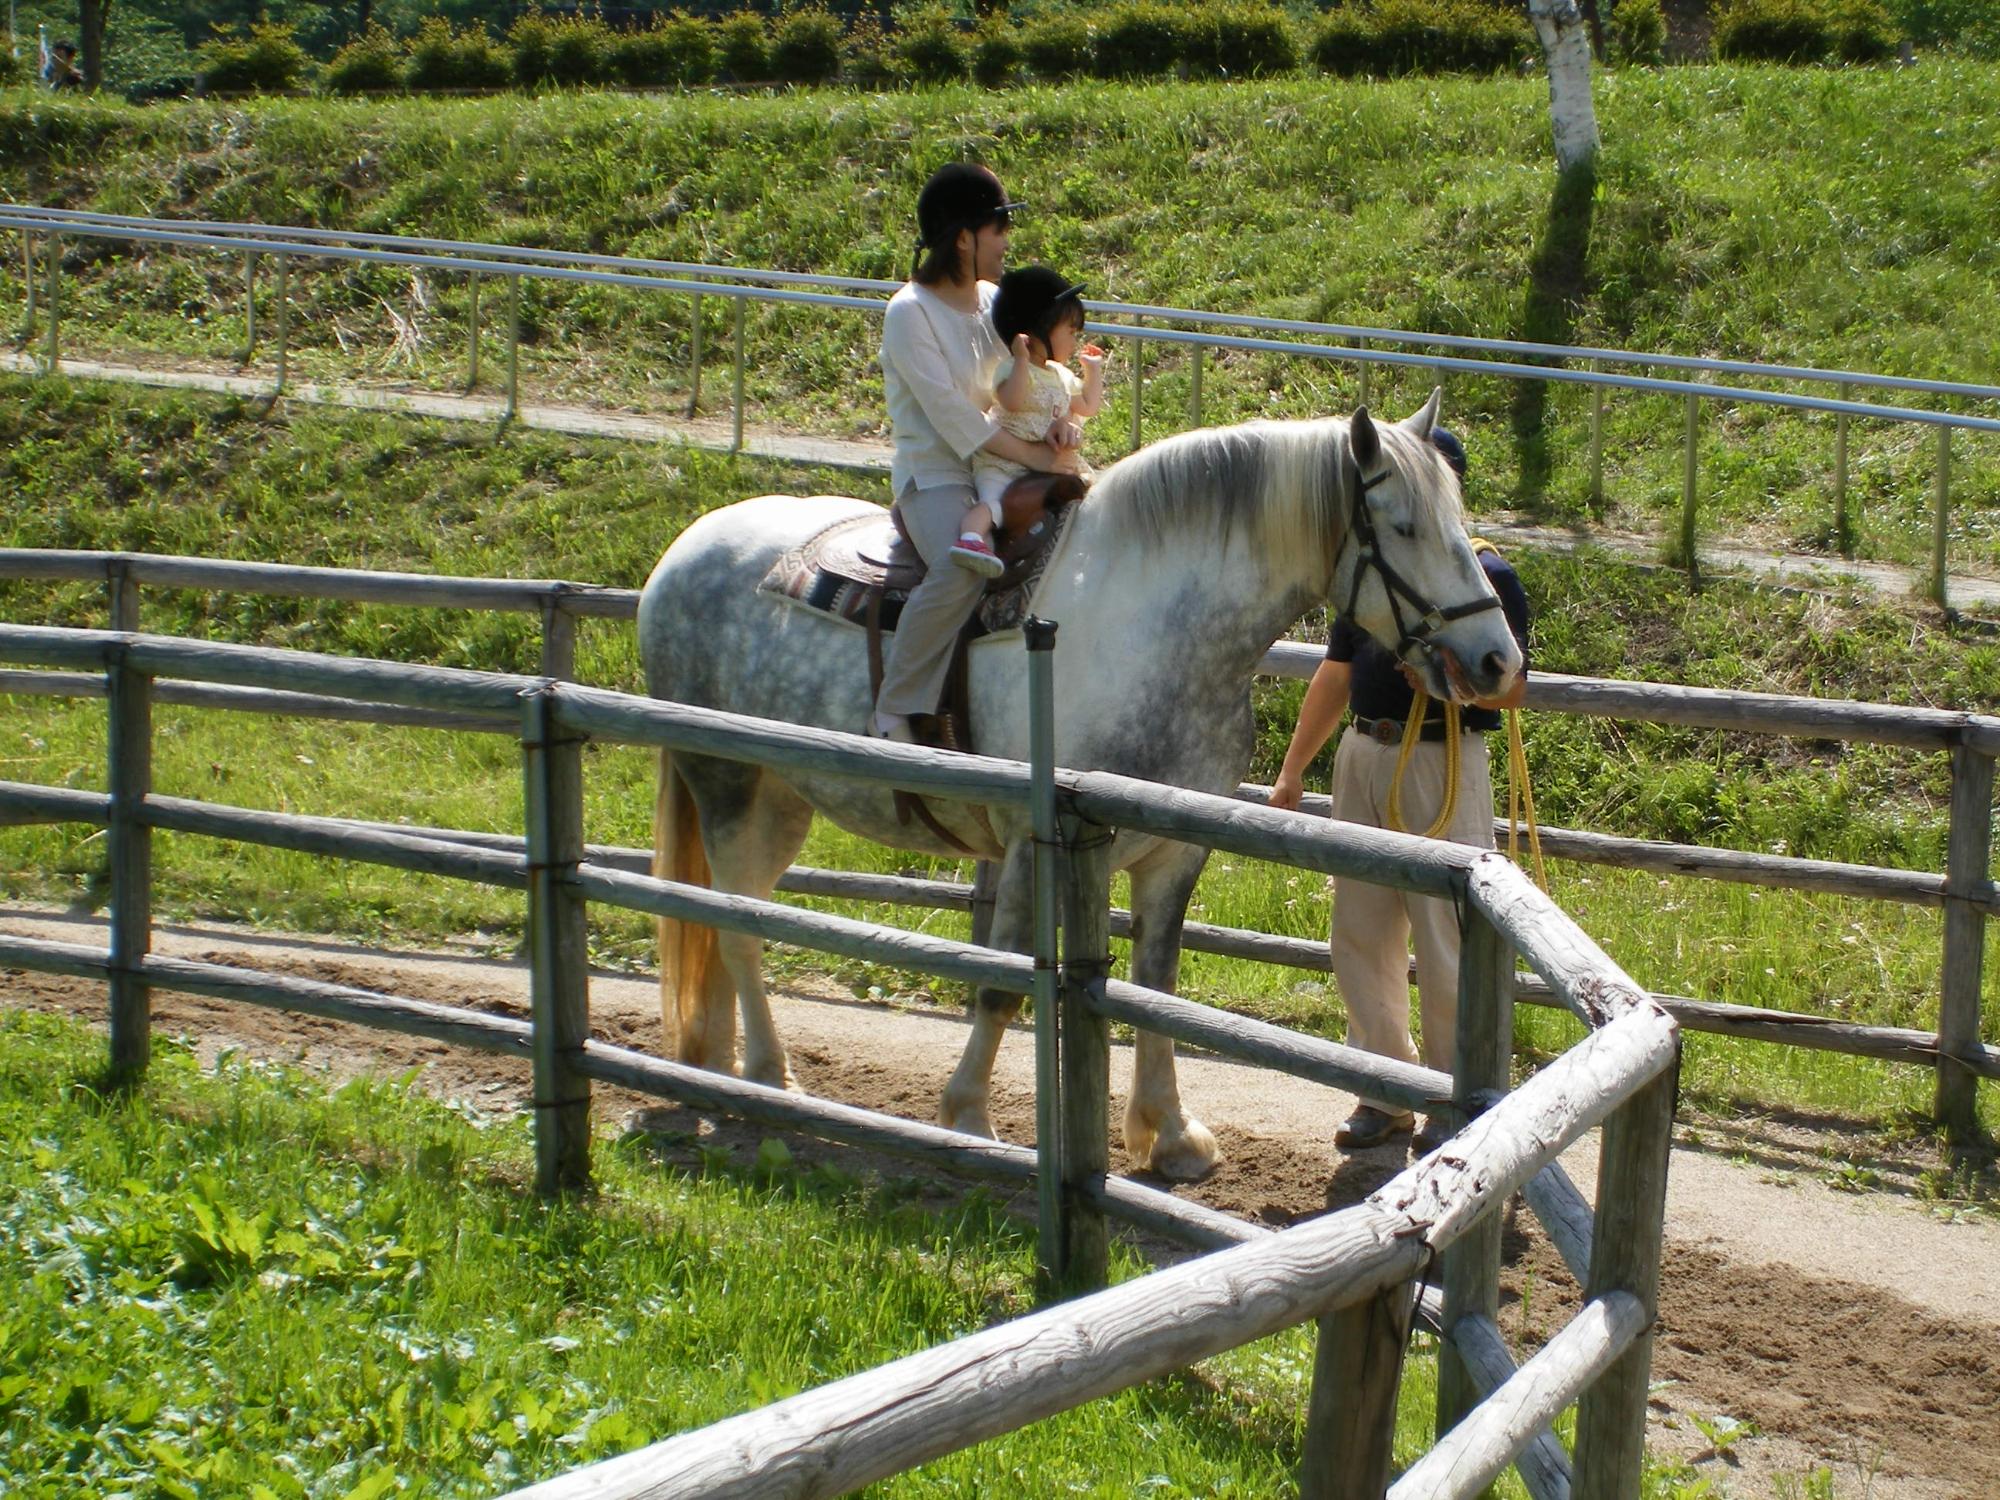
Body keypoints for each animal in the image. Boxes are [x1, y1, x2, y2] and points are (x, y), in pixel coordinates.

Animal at [640, 394, 1512, 1184]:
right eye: (1401, 526)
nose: (1499, 658)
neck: (1147, 625)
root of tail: (684, 549)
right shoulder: (1034, 846)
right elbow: (1002, 986)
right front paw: (969, 1118)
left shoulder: (1171, 855)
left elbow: (1156, 984)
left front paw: (1171, 1136)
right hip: (723, 781)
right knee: (736, 921)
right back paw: (768, 1073)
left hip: (780, 797)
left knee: (732, 912)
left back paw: (718, 1060)